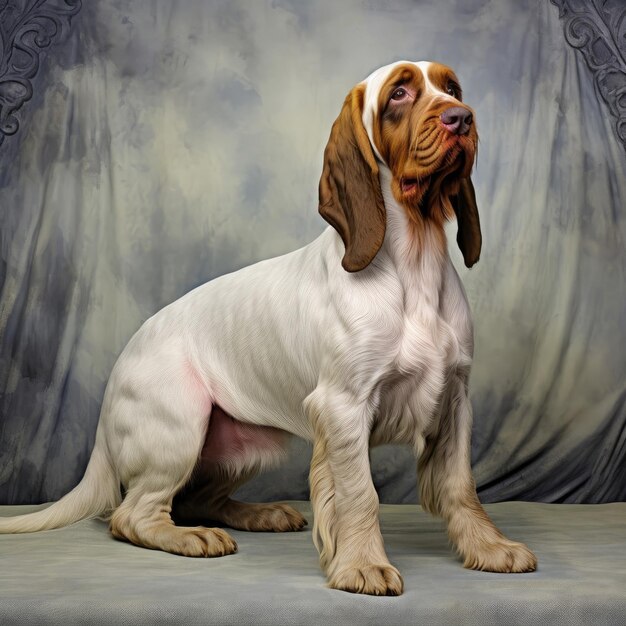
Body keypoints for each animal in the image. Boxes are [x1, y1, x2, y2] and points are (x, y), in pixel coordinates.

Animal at [1, 62, 536, 596]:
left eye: (452, 88)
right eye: (399, 93)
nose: (461, 118)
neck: (415, 264)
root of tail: (113, 380)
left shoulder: (455, 399)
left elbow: (461, 486)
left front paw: (490, 548)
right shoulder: (344, 406)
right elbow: (359, 494)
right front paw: (362, 565)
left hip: (249, 447)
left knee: (195, 499)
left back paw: (262, 514)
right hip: (182, 428)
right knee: (131, 515)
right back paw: (194, 537)